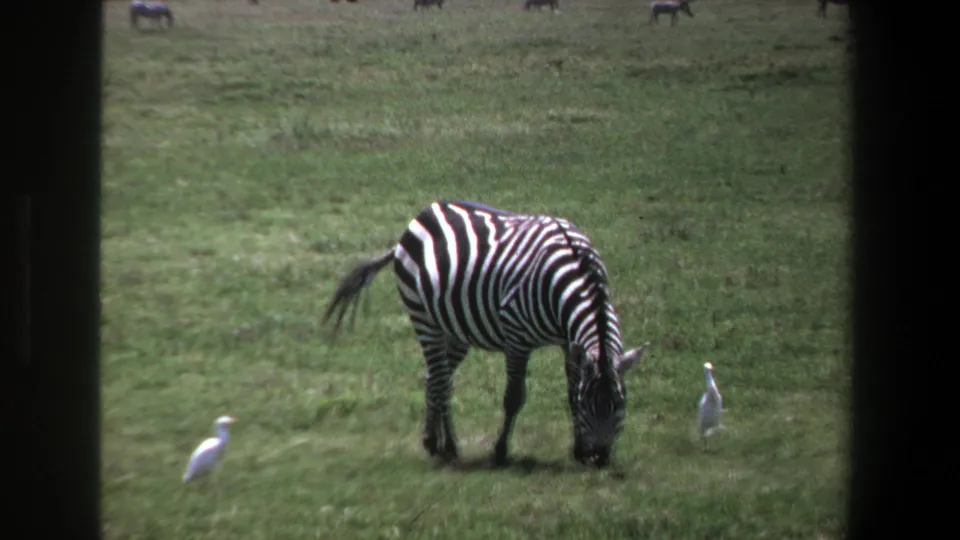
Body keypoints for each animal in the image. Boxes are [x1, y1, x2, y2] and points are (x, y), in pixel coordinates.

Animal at [323, 200, 650, 468]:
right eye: (591, 405)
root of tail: (421, 215)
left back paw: (437, 443)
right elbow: (514, 397)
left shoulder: (570, 343)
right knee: (439, 379)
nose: (599, 459)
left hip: (454, 329)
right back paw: (444, 447)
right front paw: (501, 451)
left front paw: (577, 449)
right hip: (423, 317)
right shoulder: (517, 337)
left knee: (437, 379)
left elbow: (571, 391)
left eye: (621, 404)